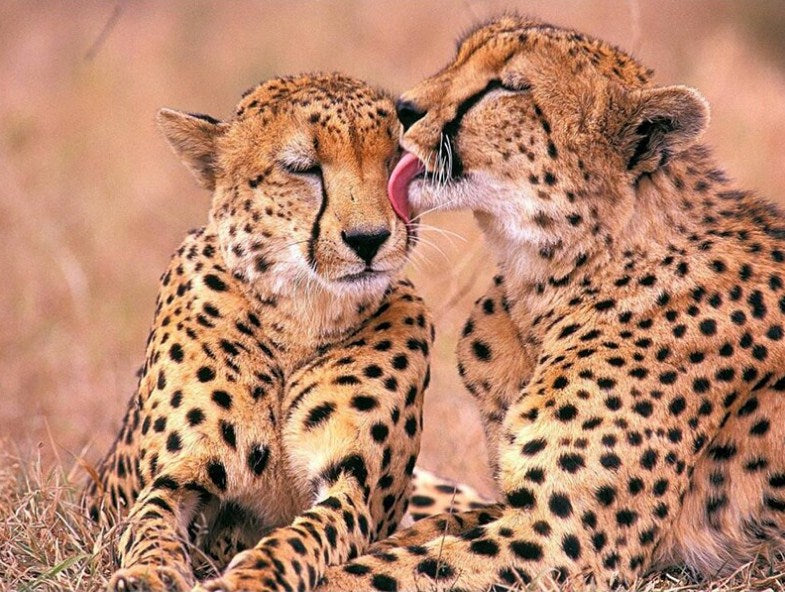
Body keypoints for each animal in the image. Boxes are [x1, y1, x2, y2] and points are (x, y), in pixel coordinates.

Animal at [81, 72, 444, 592]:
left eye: (396, 160)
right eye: (302, 168)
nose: (369, 239)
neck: (300, 317)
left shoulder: (353, 487)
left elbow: (303, 536)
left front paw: (251, 577)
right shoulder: (180, 472)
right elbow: (150, 521)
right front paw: (149, 573)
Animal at [317, 16, 785, 591]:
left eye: (507, 87)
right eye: (460, 57)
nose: (402, 108)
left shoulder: (560, 541)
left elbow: (378, 571)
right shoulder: (514, 508)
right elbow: (413, 536)